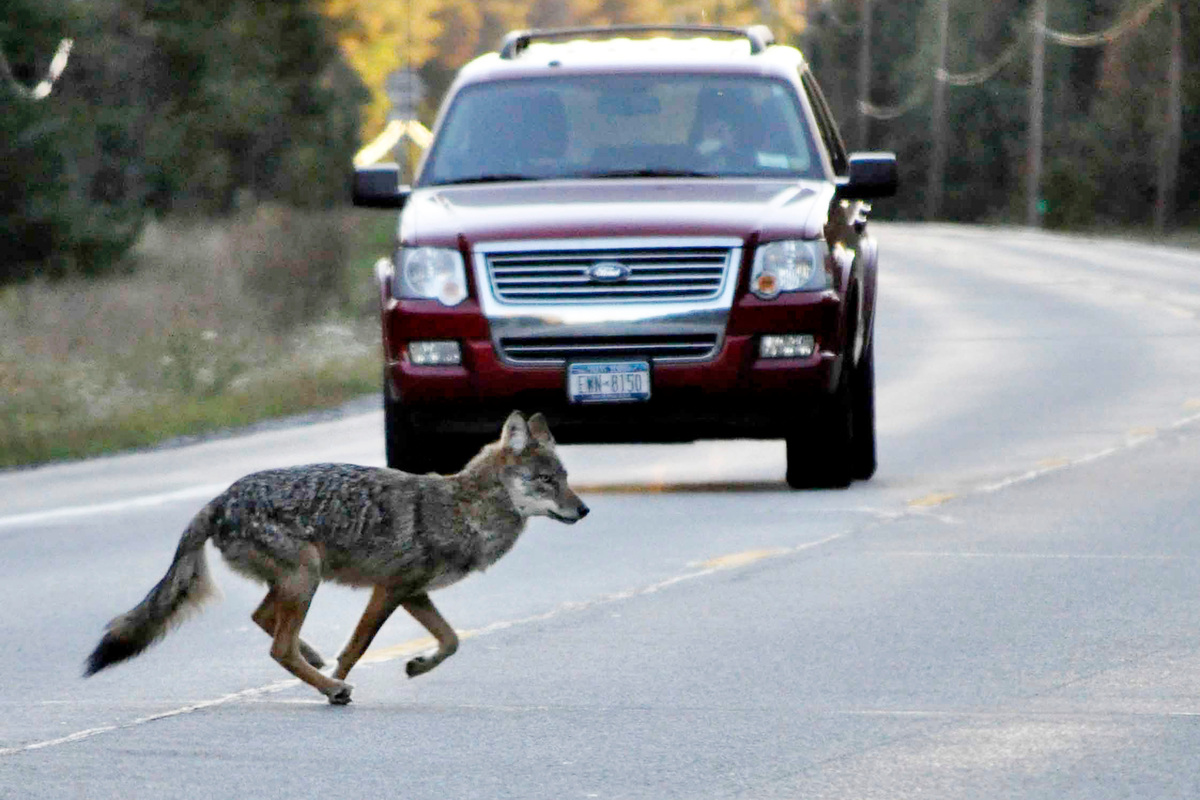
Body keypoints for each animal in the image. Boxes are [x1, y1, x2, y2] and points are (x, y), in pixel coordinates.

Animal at [84, 411, 588, 704]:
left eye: (565, 478)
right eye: (546, 481)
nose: (584, 510)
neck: (463, 509)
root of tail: (220, 499)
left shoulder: (414, 593)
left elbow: (451, 642)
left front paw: (417, 665)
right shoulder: (390, 589)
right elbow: (358, 647)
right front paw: (342, 682)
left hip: (298, 582)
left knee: (264, 621)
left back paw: (314, 659)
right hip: (306, 578)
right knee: (279, 647)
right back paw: (329, 685)